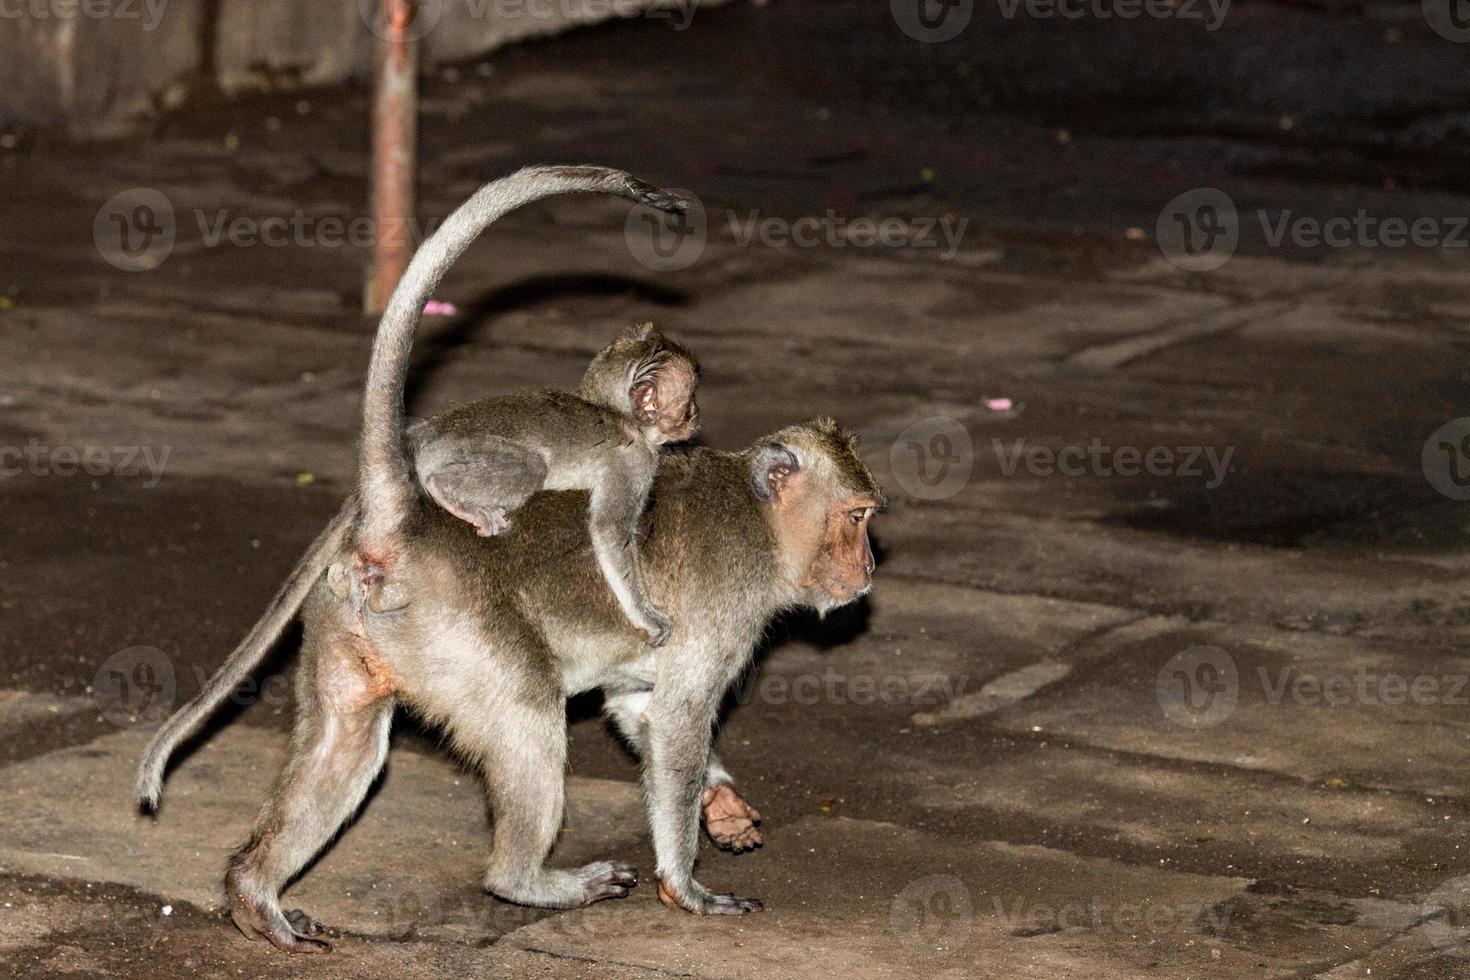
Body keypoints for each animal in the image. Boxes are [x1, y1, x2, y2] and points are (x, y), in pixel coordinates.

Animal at [405, 321, 696, 643]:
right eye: (688, 405)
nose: (695, 416)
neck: (622, 416)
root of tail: (429, 431)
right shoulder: (634, 462)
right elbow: (609, 529)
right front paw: (647, 617)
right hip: (459, 448)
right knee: (531, 469)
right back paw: (445, 491)